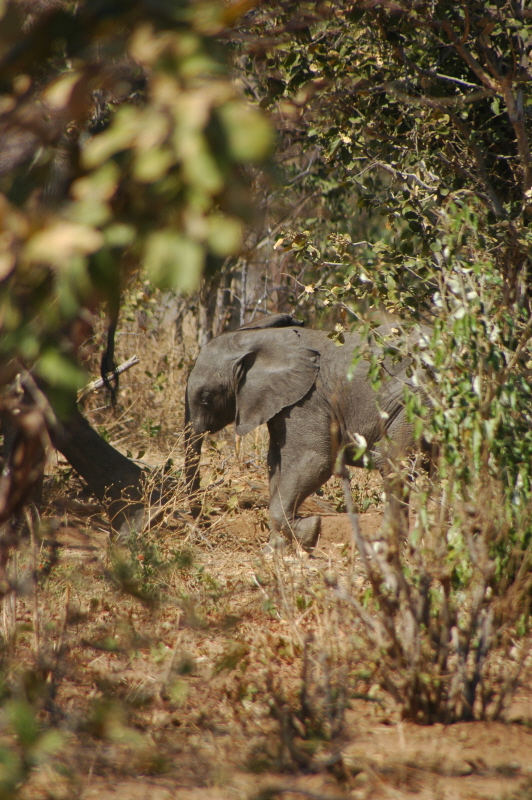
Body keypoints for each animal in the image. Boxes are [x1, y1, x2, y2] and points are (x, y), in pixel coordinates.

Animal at [184, 312, 428, 552]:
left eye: (206, 397)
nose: (204, 523)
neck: (261, 339)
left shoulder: (308, 400)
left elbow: (313, 461)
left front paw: (309, 530)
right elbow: (276, 465)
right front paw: (276, 551)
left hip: (411, 404)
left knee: (391, 464)